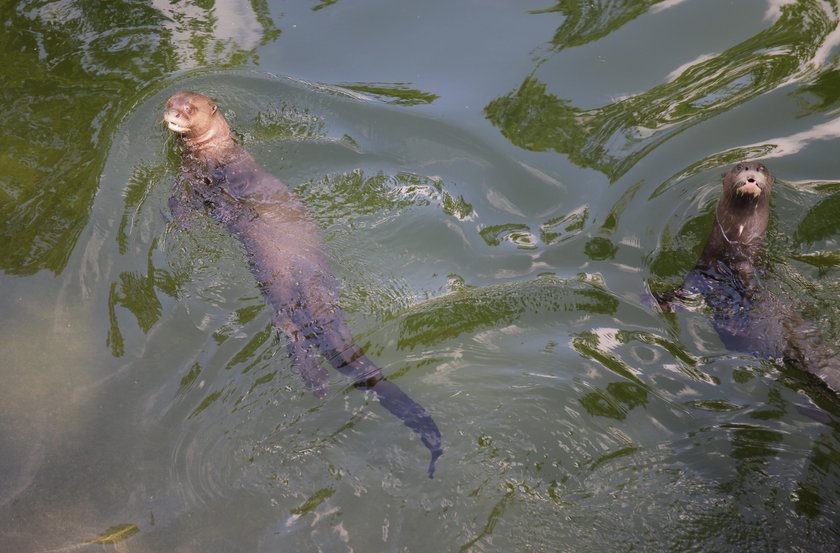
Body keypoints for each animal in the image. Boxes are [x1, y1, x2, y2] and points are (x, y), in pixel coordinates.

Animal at [160, 90, 442, 474]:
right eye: (170, 101)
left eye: (188, 108)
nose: (170, 113)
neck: (215, 151)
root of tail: (309, 280)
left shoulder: (208, 176)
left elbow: (186, 201)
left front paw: (180, 222)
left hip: (277, 284)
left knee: (287, 326)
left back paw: (317, 383)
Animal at [656, 162, 840, 394]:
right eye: (740, 167)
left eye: (762, 169)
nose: (751, 172)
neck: (737, 243)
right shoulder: (704, 268)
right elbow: (688, 288)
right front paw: (660, 299)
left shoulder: (745, 266)